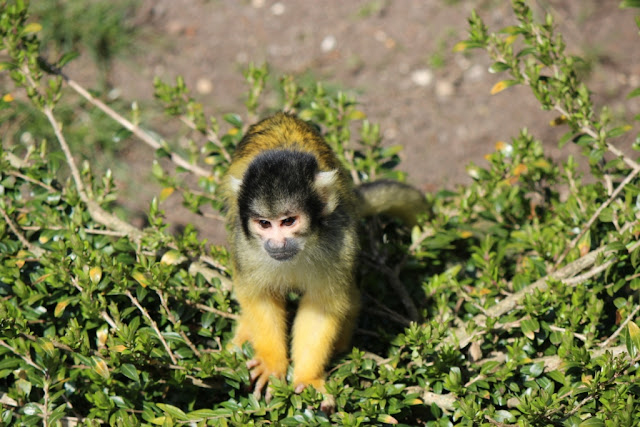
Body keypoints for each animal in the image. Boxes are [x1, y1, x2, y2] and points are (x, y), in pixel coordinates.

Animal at [223, 112, 425, 407]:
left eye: (288, 221)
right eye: (264, 223)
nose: (276, 243)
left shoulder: (339, 242)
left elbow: (321, 307)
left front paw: (307, 377)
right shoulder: (244, 246)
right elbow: (260, 297)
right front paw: (272, 362)